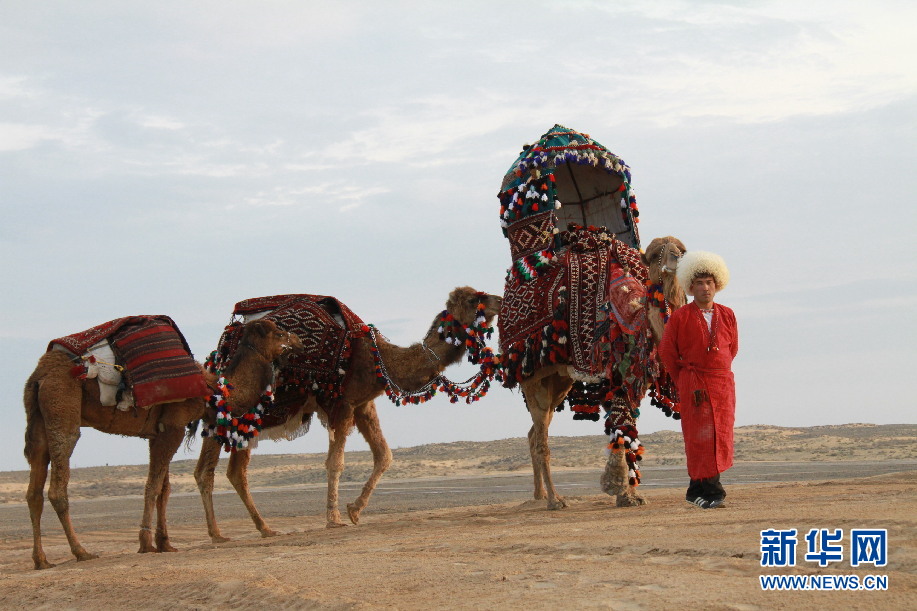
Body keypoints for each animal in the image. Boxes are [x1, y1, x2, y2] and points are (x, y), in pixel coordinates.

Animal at [23, 318, 300, 570]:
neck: (214, 391)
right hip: (62, 405)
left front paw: (165, 542)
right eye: (279, 332)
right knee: (58, 483)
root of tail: (39, 375)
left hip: (38, 421)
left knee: (34, 490)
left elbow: (164, 489)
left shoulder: (159, 431)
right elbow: (153, 486)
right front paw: (146, 543)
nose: (297, 339)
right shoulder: (174, 427)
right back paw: (81, 551)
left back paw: (41, 560)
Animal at [193, 286, 502, 541]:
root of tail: (220, 350)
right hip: (232, 415)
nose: (499, 299)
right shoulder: (341, 403)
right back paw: (227, 533)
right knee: (215, 471)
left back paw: (254, 529)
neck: (378, 358)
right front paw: (334, 518)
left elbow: (384, 455)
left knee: (226, 472)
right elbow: (336, 463)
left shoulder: (363, 405)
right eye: (474, 299)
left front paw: (355, 510)